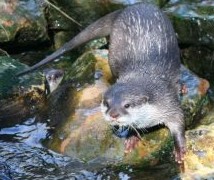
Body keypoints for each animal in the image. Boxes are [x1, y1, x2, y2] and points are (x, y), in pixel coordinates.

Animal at [17, 2, 186, 166]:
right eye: (106, 103)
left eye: (127, 105)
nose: (113, 114)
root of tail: (128, 8)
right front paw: (132, 137)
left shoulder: (168, 101)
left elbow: (179, 122)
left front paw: (179, 149)